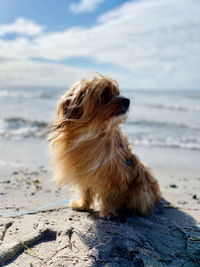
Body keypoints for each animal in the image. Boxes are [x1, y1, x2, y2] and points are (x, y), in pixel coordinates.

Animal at [49, 74, 161, 219]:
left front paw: (107, 212)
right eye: (106, 94)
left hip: (140, 189)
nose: (128, 100)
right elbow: (85, 189)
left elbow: (109, 194)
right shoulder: (84, 169)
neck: (92, 133)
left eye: (118, 92)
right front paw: (82, 205)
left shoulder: (113, 175)